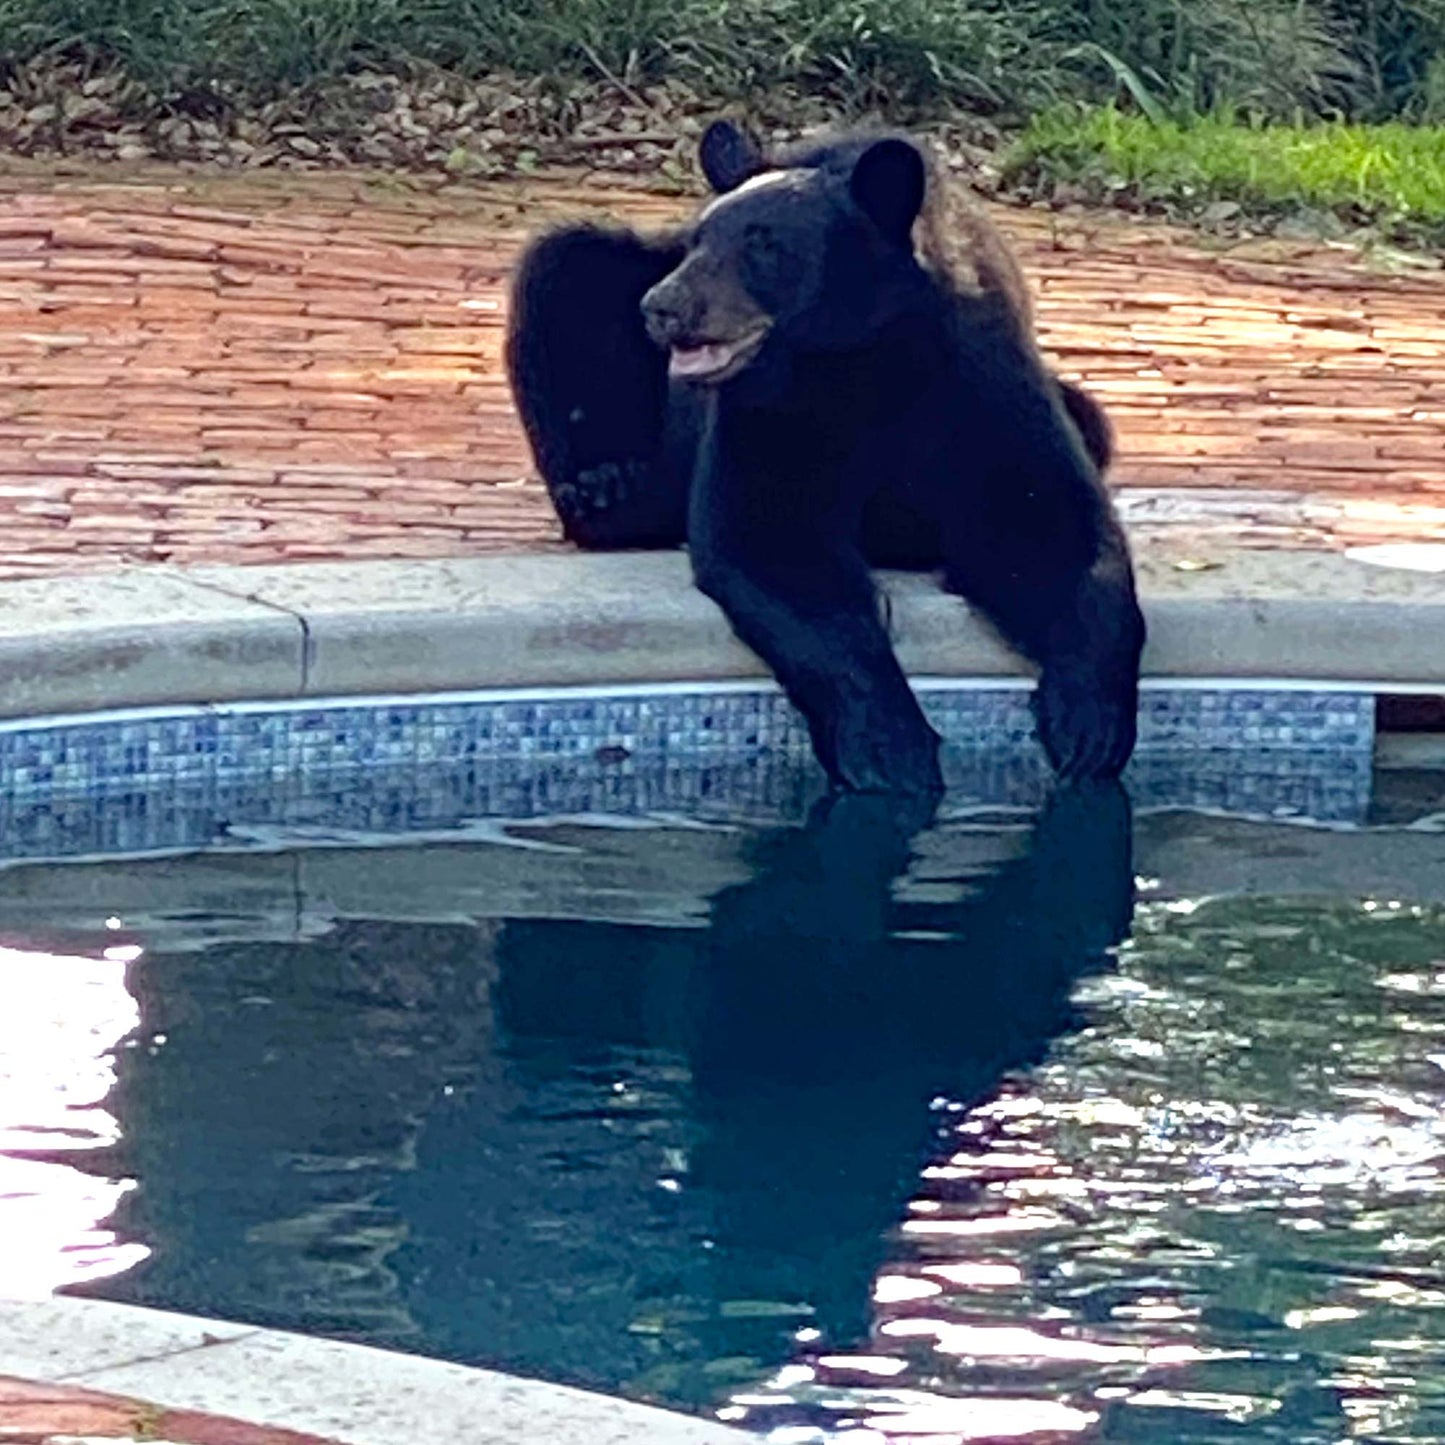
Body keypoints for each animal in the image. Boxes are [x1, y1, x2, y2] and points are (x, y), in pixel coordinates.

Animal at [502, 118, 1144, 797]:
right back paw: (608, 494)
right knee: (566, 270)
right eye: (700, 240)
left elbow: (1045, 524)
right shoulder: (776, 416)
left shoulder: (978, 384)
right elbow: (775, 543)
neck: (860, 364)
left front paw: (1089, 725)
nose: (663, 306)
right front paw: (890, 746)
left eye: (763, 243)